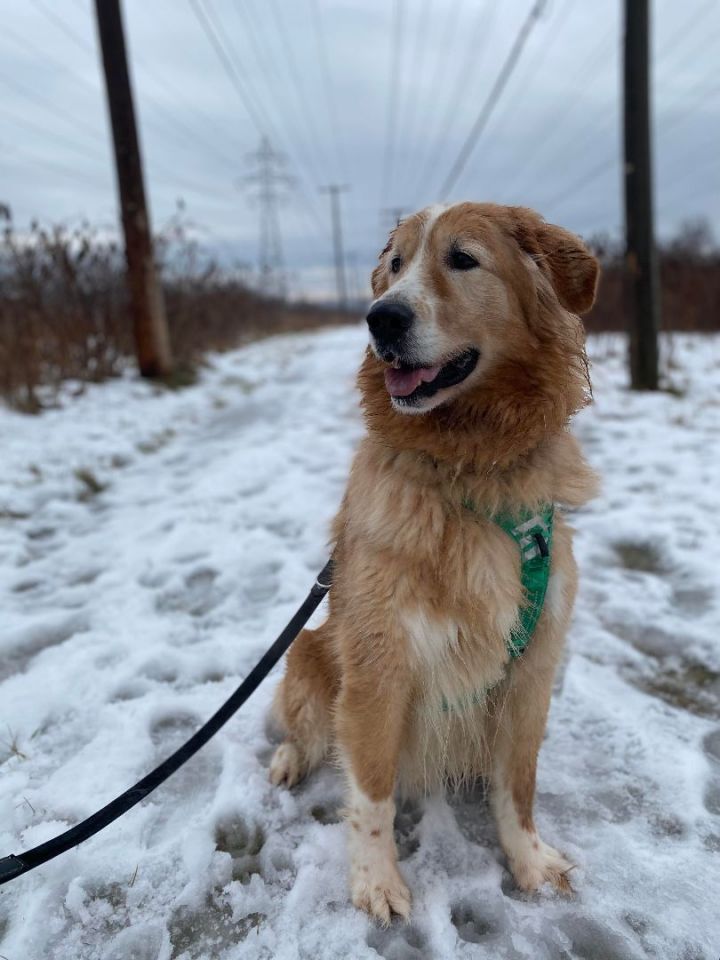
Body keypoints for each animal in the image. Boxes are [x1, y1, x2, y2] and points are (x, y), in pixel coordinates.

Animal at [268, 201, 600, 924]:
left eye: (463, 259)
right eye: (394, 267)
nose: (381, 318)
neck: (469, 468)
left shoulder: (533, 668)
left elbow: (518, 786)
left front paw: (529, 862)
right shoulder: (378, 665)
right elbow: (371, 792)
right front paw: (375, 882)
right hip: (306, 652)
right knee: (304, 732)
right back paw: (287, 761)